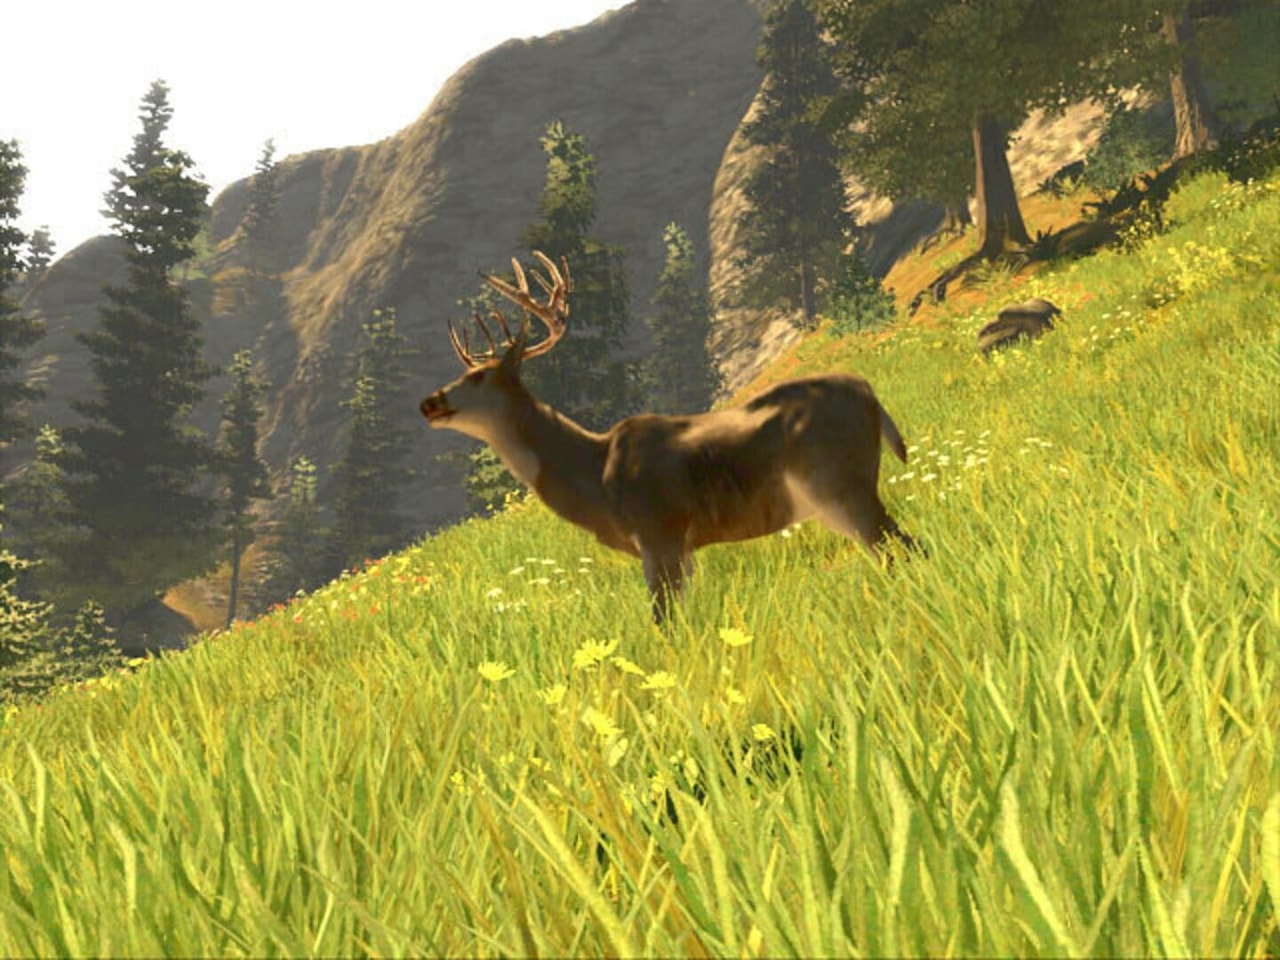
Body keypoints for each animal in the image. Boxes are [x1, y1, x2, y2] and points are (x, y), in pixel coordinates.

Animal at [420, 251, 919, 624]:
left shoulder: (658, 531)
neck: (593, 473)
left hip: (842, 483)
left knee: (904, 547)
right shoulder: (683, 547)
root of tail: (869, 394)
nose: (428, 402)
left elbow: (664, 623)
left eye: (478, 376)